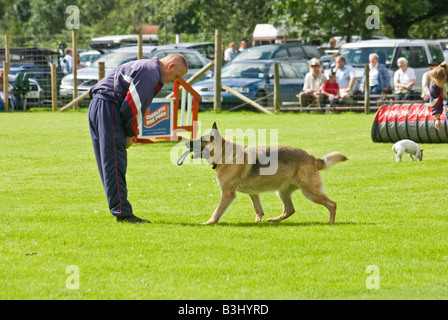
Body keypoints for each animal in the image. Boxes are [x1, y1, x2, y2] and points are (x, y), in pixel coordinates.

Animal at [187, 122, 348, 225]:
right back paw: (275, 219)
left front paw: (209, 222)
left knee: (332, 204)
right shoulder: (253, 193)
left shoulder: (227, 194)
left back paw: (330, 221)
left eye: (201, 140)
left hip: (310, 192)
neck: (225, 154)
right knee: (290, 210)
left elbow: (217, 211)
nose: (187, 142)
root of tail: (311, 157)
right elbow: (258, 209)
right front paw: (258, 221)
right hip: (282, 193)